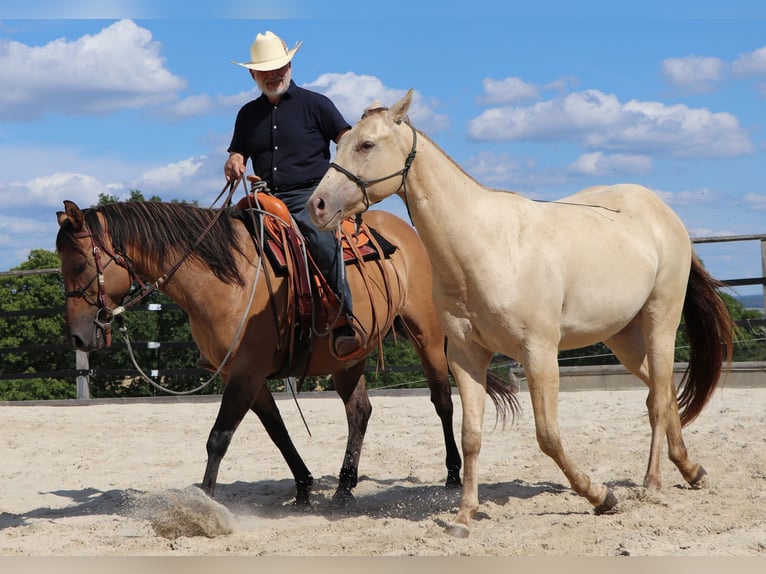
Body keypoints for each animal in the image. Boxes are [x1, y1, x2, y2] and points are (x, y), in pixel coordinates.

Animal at [56, 197, 518, 507]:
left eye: (78, 263)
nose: (77, 337)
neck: (226, 277)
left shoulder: (244, 373)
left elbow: (218, 438)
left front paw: (205, 505)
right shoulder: (246, 375)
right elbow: (277, 432)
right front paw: (304, 485)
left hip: (428, 337)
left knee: (442, 400)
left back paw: (453, 475)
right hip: (347, 356)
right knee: (359, 411)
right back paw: (344, 486)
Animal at [307, 89, 734, 537]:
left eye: (366, 145)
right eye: (342, 143)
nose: (317, 205)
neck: (485, 245)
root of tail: (663, 212)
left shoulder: (539, 353)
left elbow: (548, 436)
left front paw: (601, 497)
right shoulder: (466, 357)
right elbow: (471, 435)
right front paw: (463, 516)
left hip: (659, 322)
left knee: (657, 399)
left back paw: (652, 484)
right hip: (623, 337)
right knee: (661, 390)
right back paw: (689, 469)